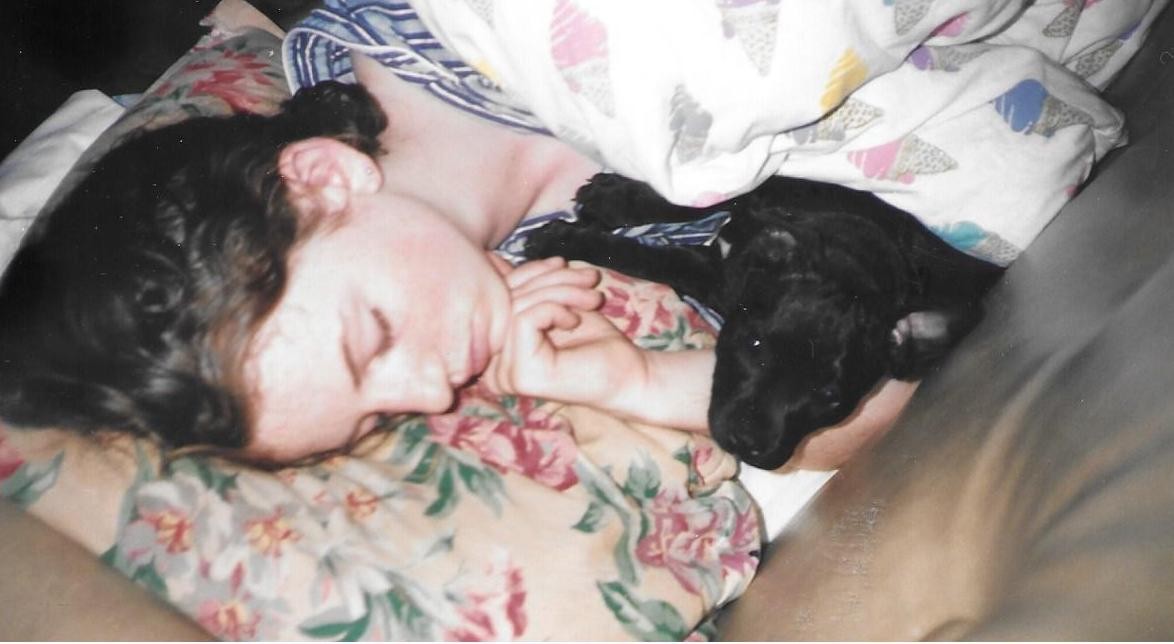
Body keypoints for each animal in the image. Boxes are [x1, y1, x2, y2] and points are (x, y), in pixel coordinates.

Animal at [528, 173, 1004, 466]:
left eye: (830, 398)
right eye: (754, 345)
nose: (750, 444)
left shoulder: (714, 278)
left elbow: (656, 257)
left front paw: (568, 238)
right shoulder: (775, 188)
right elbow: (699, 200)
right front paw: (612, 202)